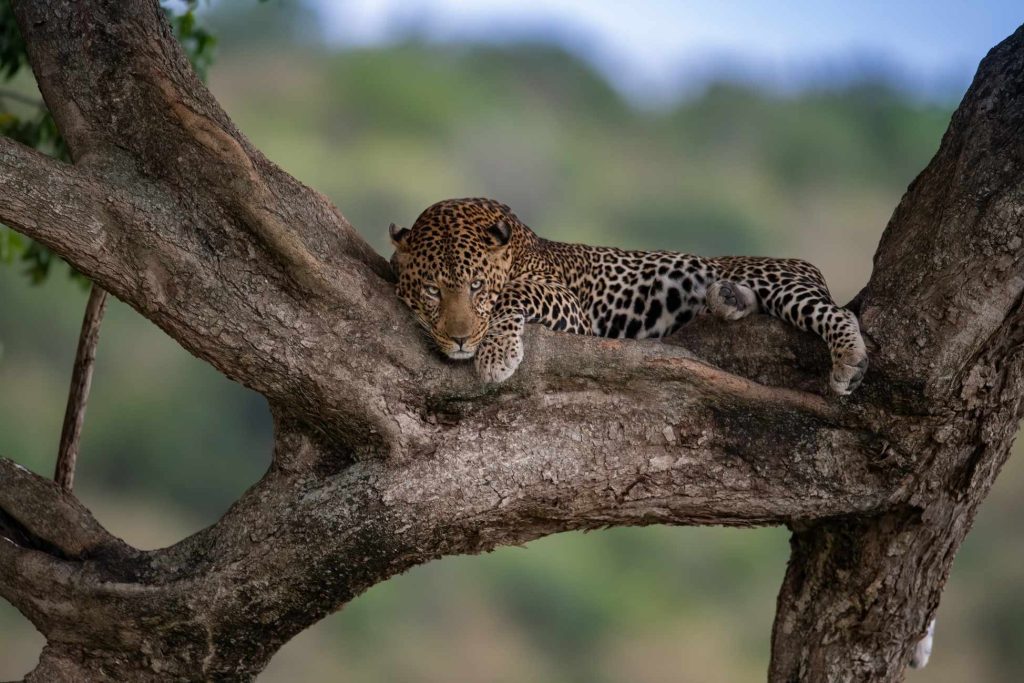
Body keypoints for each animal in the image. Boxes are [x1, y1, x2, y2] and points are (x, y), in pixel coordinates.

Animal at [389, 197, 867, 395]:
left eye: (476, 287)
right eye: (433, 290)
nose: (460, 340)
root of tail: (807, 266)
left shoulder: (572, 310)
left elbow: (515, 291)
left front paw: (496, 355)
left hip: (779, 280)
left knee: (837, 313)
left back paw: (850, 361)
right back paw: (729, 299)